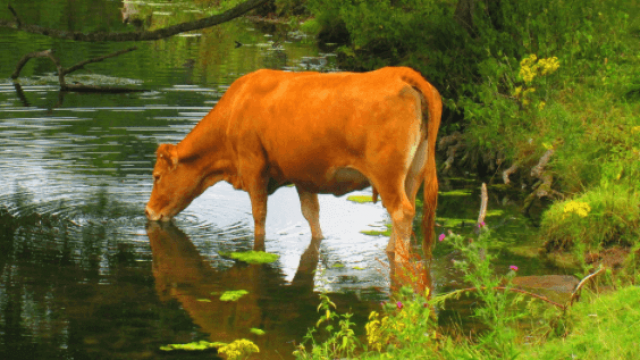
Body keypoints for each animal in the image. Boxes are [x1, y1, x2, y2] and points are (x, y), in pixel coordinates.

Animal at [144, 66, 440, 260]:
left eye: (157, 176)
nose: (147, 211)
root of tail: (399, 72)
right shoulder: (303, 174)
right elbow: (312, 215)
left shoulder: (253, 167)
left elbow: (259, 216)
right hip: (413, 172)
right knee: (408, 208)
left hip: (387, 174)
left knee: (401, 212)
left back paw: (400, 259)